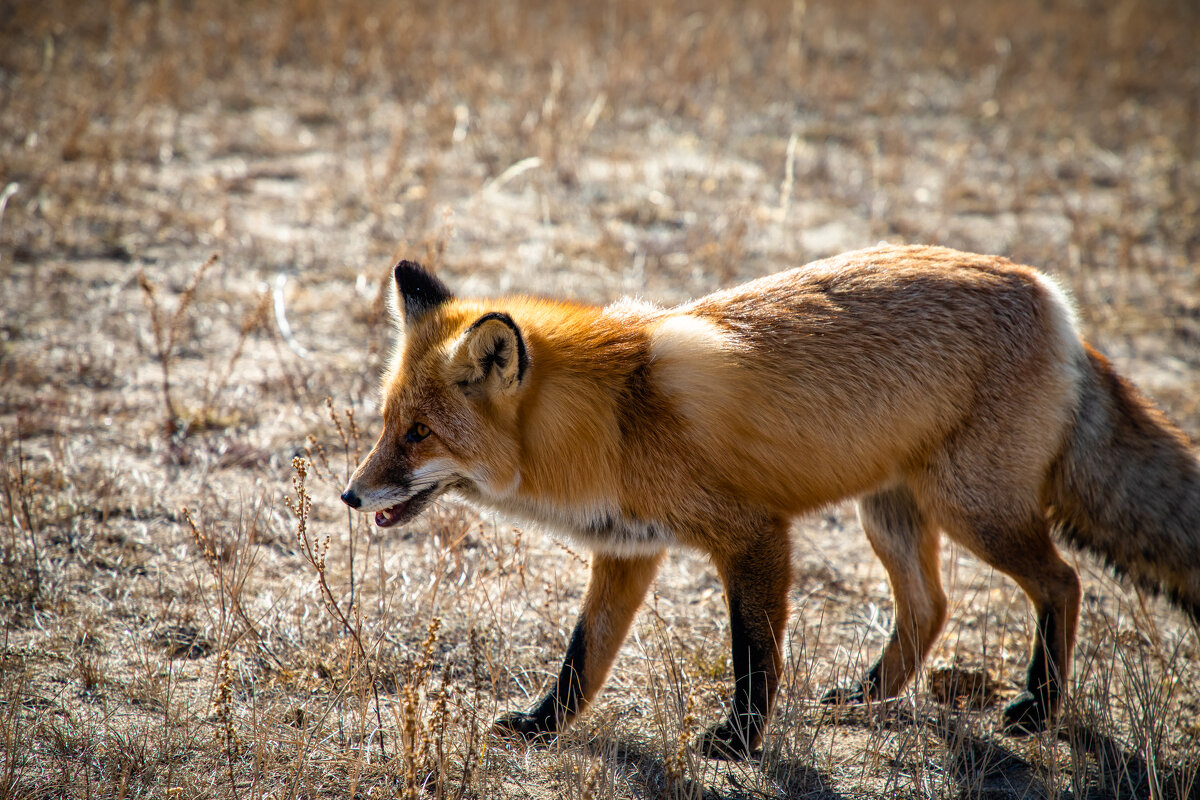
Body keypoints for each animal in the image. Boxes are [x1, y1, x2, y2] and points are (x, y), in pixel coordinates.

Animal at [338, 247, 1200, 762]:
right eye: (386, 424)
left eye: (417, 435)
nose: (349, 493)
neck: (614, 419)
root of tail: (1053, 298)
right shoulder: (628, 549)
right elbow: (583, 658)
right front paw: (544, 726)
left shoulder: (755, 536)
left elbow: (754, 656)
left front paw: (737, 742)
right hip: (889, 513)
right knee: (932, 608)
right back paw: (869, 695)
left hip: (973, 513)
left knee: (1063, 582)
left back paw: (1038, 707)